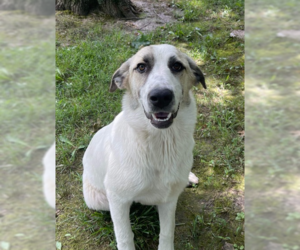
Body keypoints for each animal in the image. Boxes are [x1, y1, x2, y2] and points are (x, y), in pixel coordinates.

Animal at [83, 44, 207, 250]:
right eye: (141, 67)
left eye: (177, 66)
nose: (161, 97)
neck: (161, 143)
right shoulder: (117, 199)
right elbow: (125, 237)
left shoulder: (169, 199)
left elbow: (167, 232)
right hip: (98, 200)